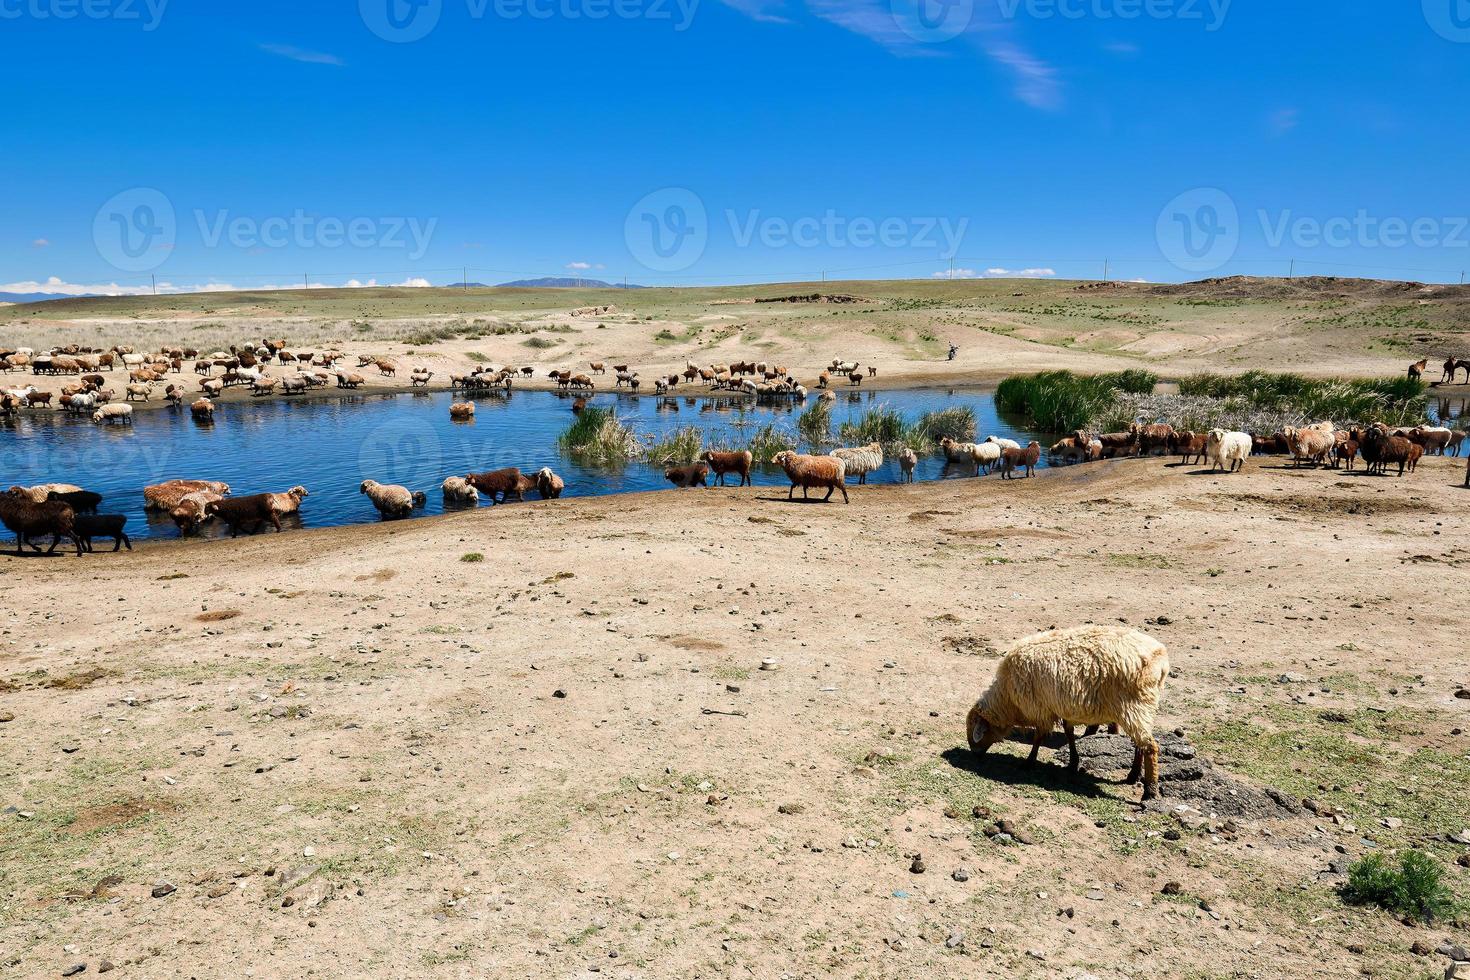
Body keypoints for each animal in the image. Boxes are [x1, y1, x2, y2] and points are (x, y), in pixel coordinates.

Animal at [964, 628, 1170, 805]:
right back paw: (1132, 776)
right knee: (1140, 744)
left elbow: (1038, 737)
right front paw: (1073, 762)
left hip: (1134, 706)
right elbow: (1069, 733)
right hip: (1138, 708)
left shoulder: (1041, 710)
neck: (1007, 699)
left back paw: (1150, 792)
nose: (974, 754)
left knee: (1150, 746)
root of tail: (1161, 657)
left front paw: (1029, 762)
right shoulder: (1062, 707)